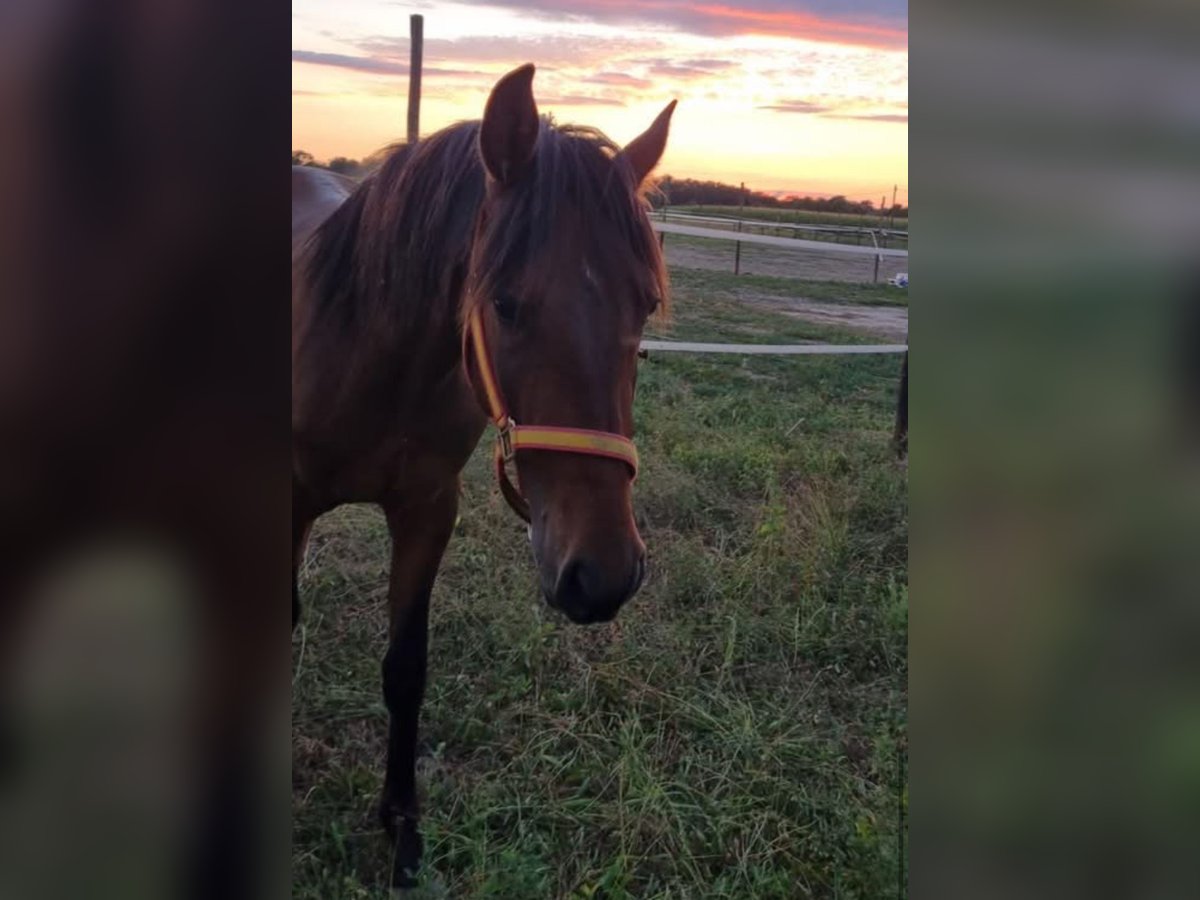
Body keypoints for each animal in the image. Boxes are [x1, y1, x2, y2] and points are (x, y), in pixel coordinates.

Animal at [290, 65, 676, 888]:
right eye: (504, 302)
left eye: (647, 302)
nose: (603, 575)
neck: (366, 353)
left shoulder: (428, 511)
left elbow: (406, 668)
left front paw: (401, 826)